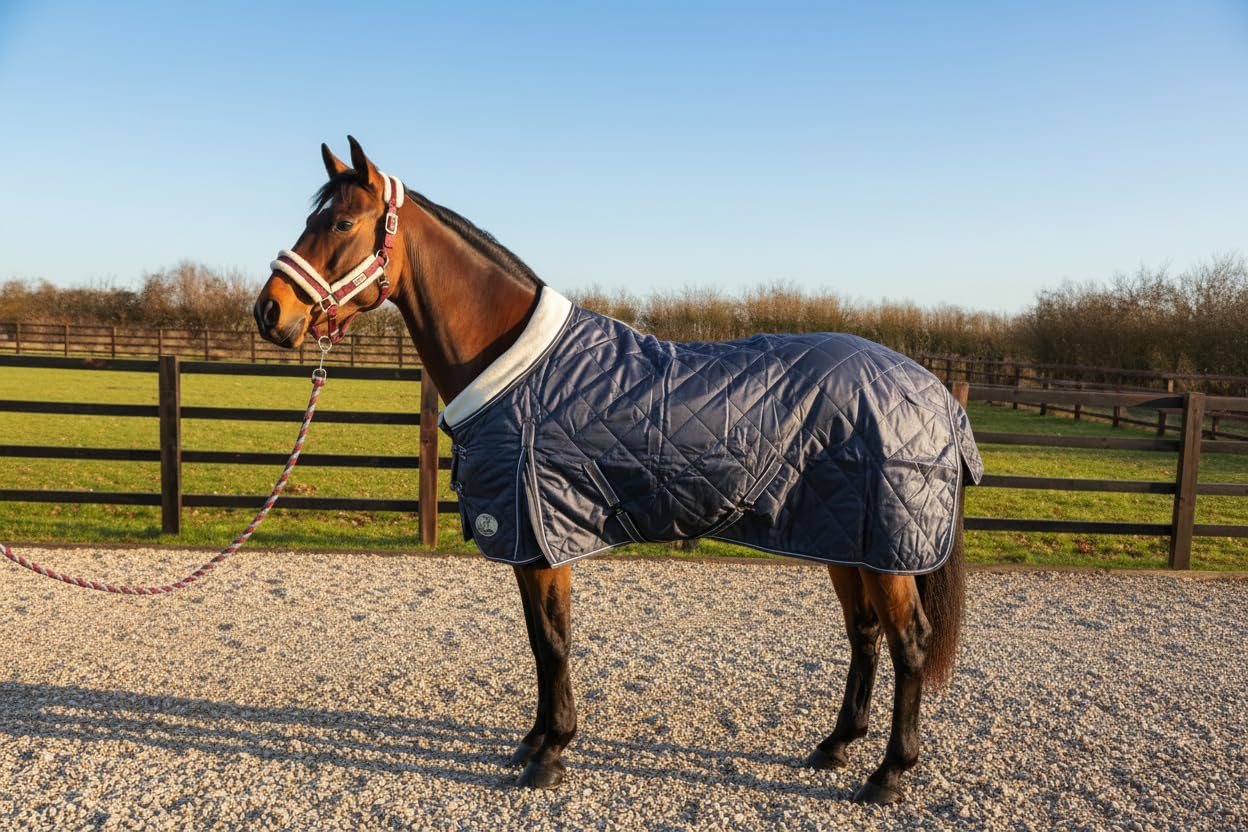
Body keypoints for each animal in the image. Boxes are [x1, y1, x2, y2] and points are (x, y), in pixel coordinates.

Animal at [254, 137, 979, 804]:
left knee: (910, 642)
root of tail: (936, 393)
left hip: (887, 547)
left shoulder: (543, 535)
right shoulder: (530, 541)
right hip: (848, 541)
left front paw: (552, 754)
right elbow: (538, 642)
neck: (516, 370)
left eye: (341, 224)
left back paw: (889, 774)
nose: (269, 312)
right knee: (865, 636)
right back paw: (835, 747)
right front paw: (534, 742)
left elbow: (553, 641)